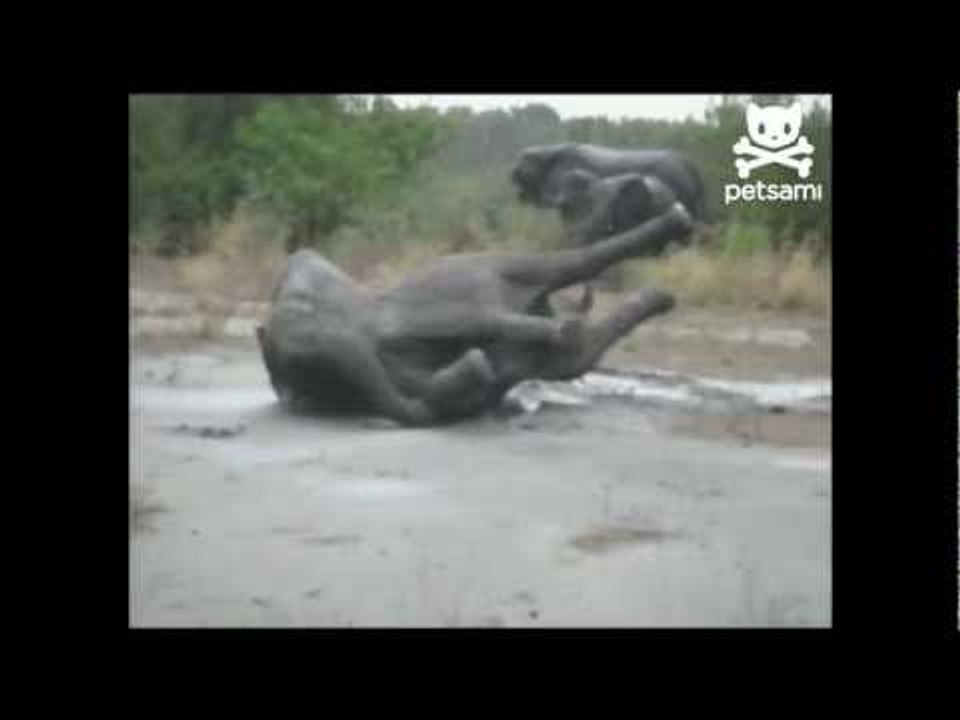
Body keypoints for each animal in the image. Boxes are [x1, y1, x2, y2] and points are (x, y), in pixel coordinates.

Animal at [256, 201, 695, 426]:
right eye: (313, 375)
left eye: (304, 306)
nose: (293, 394)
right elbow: (428, 398)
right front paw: (477, 370)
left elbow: (476, 322)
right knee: (580, 348)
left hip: (488, 264)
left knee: (571, 265)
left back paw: (677, 225)